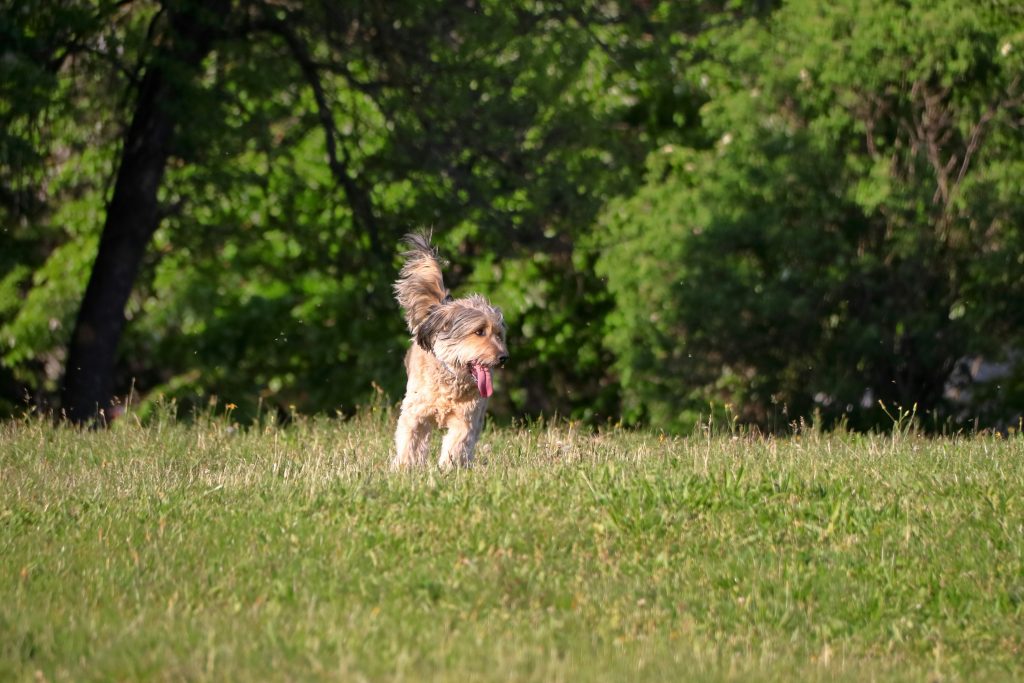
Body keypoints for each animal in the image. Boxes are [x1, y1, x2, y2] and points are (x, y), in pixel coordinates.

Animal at [387, 235, 507, 471]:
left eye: (499, 334)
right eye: (479, 331)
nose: (503, 357)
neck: (451, 379)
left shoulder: (467, 418)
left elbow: (457, 444)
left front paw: (447, 470)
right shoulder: (415, 413)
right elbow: (409, 440)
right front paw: (403, 467)